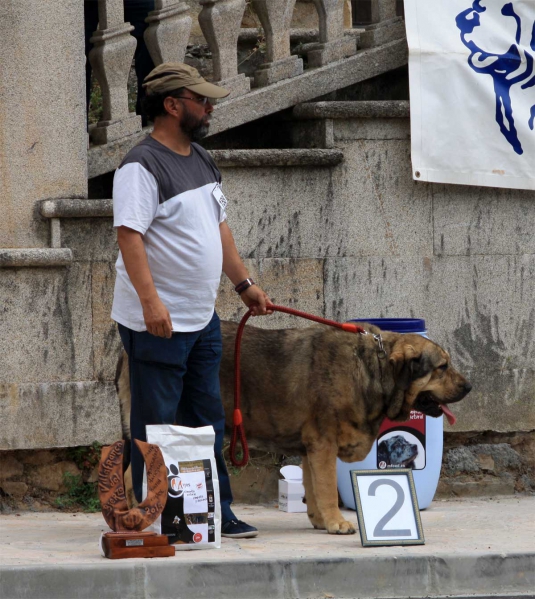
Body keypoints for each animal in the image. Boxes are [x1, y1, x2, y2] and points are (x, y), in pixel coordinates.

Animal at [116, 322, 468, 536]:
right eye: (442, 367)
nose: (470, 386)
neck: (373, 369)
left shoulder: (311, 448)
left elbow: (314, 487)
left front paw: (320, 520)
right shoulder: (324, 444)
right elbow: (327, 488)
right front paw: (337, 522)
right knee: (133, 474)